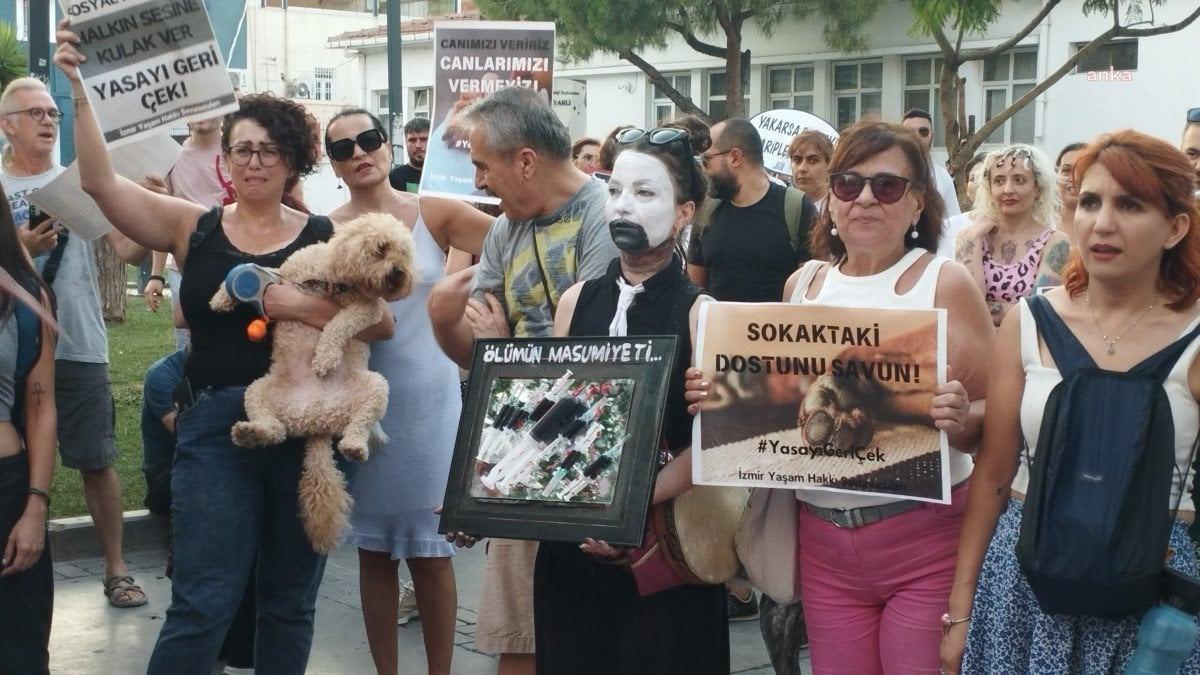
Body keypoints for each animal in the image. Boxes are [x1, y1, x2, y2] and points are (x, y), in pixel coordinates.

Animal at [206, 211, 412, 552]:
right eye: (382, 249)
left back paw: (355, 446)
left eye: (405, 254)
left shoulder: (368, 310)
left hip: (376, 388)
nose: (399, 274)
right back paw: (252, 432)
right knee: (274, 430)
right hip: (258, 390)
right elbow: (265, 272)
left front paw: (325, 357)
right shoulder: (287, 274)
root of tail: (318, 425)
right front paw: (222, 298)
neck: (331, 280)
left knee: (359, 424)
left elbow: (341, 323)